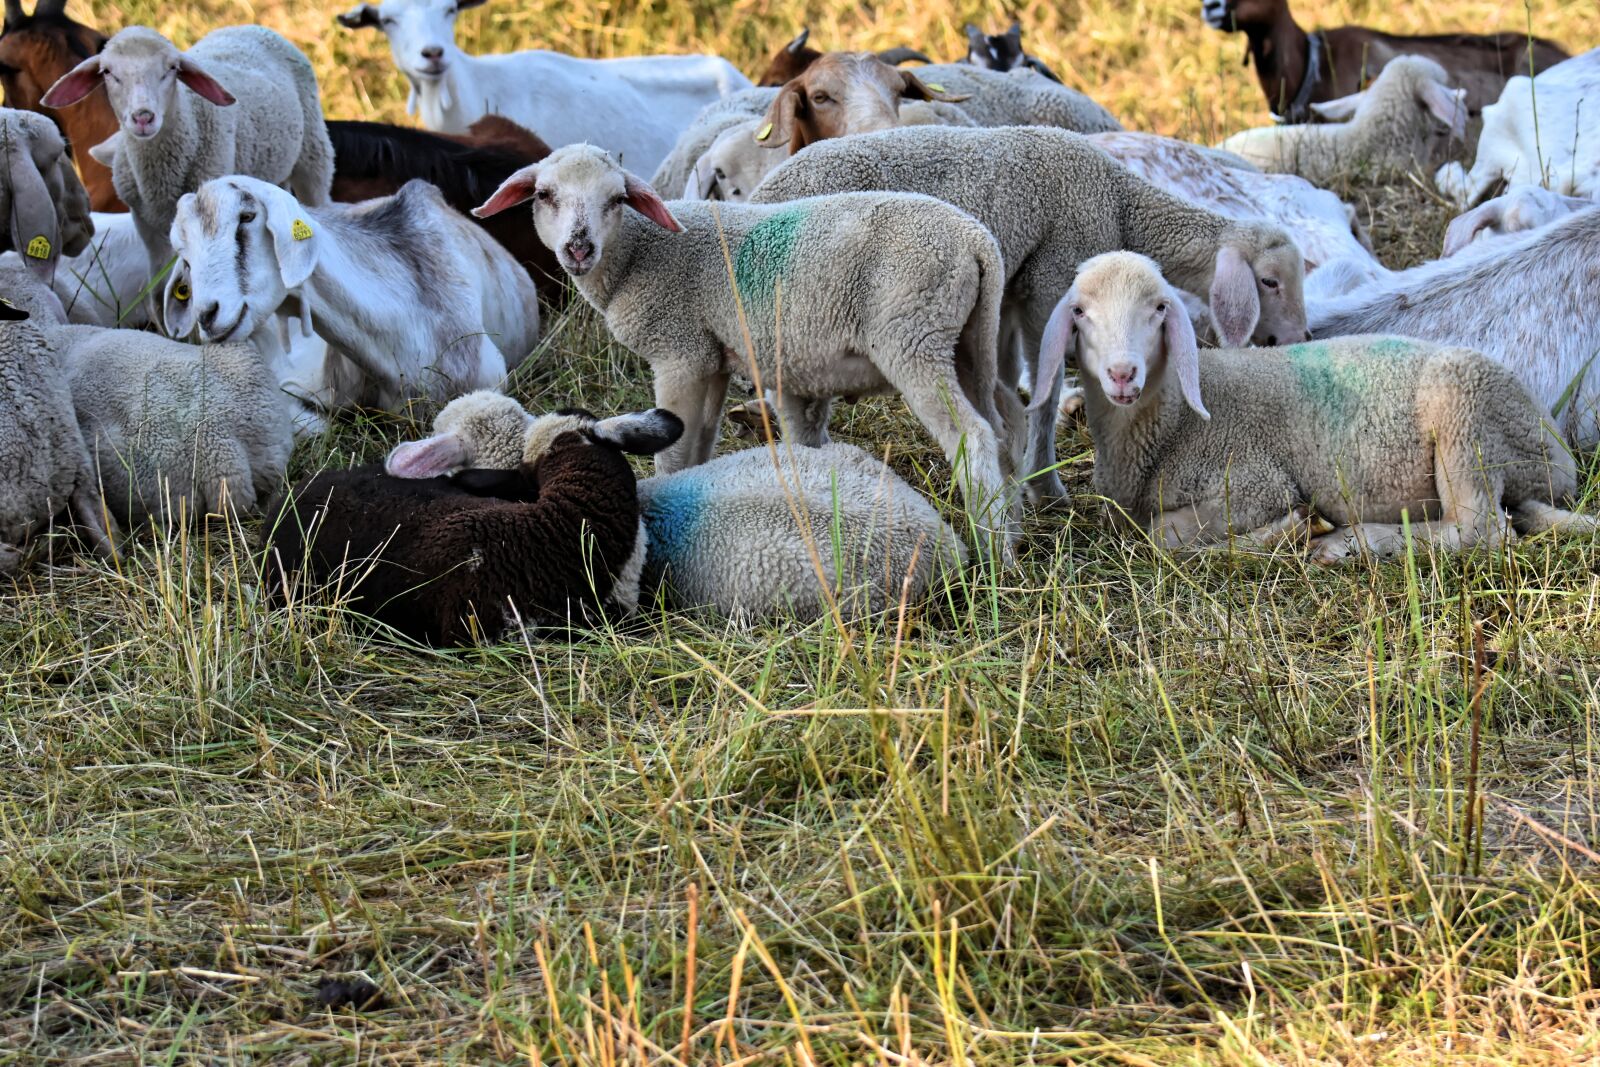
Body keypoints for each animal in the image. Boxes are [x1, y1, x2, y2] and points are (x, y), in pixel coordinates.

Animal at [40, 25, 334, 277]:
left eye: (172, 68)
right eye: (107, 72)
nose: (143, 117)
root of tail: (250, 26)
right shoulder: (146, 224)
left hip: (313, 152)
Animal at [472, 143, 1024, 558]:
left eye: (616, 199)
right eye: (545, 194)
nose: (579, 248)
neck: (638, 254)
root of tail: (974, 238)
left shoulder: (680, 351)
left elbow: (672, 453)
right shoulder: (713, 357)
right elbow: (699, 443)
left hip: (913, 339)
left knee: (972, 437)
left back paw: (993, 550)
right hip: (968, 342)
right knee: (1001, 428)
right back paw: (1015, 531)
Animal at [749, 123, 1308, 503]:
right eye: (1270, 281)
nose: (1299, 339)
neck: (1120, 201)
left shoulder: (1008, 291)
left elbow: (1007, 368)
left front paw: (1017, 464)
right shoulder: (1051, 279)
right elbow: (1048, 382)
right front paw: (1046, 483)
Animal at [1046, 251, 1593, 563]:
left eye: (1159, 309)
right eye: (1079, 311)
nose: (1122, 373)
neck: (1174, 422)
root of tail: (1558, 454)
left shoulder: (1253, 482)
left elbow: (1164, 536)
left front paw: (1289, 529)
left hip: (1466, 414)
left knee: (1482, 530)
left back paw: (1353, 543)